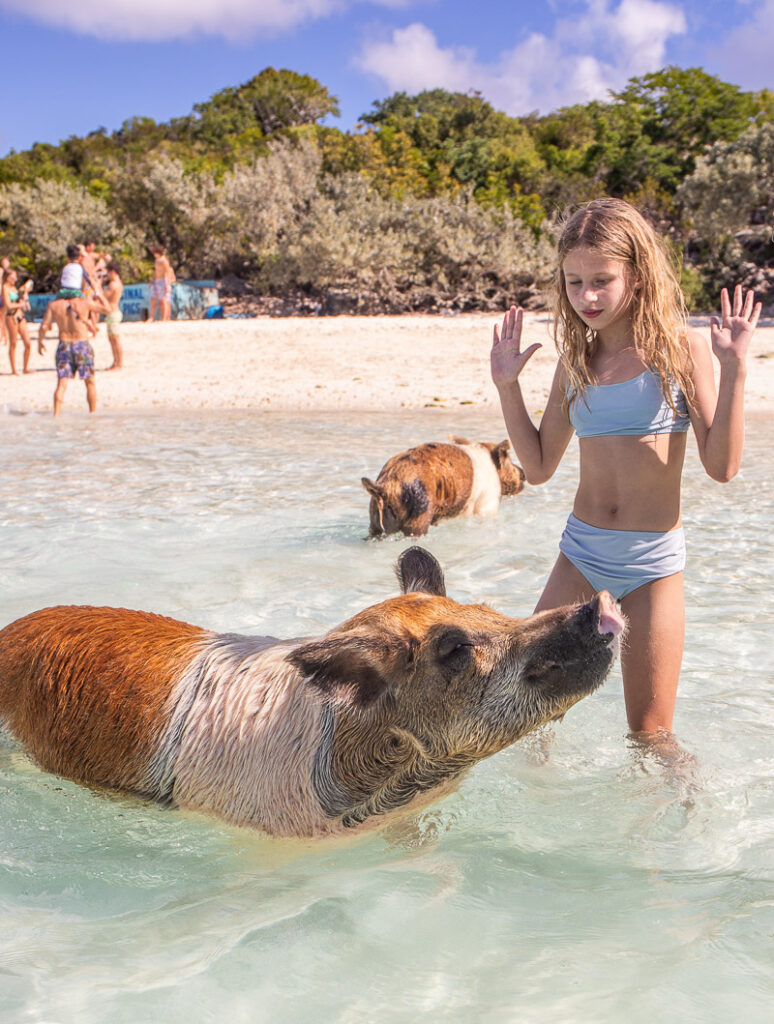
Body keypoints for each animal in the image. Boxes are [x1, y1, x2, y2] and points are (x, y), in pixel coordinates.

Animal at [362, 436, 524, 540]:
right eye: (510, 459)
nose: (523, 473)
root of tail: (386, 487)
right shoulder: (486, 502)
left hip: (375, 516)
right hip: (420, 507)